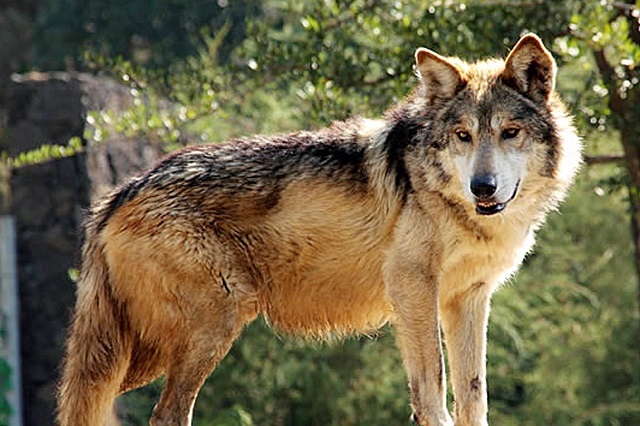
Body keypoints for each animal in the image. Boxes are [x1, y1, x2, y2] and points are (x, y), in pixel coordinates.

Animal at [57, 33, 581, 426]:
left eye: (510, 132)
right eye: (463, 136)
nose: (482, 187)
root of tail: (117, 195)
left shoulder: (468, 298)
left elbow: (473, 397)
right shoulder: (412, 286)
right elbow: (432, 390)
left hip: (144, 353)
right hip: (203, 330)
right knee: (164, 414)